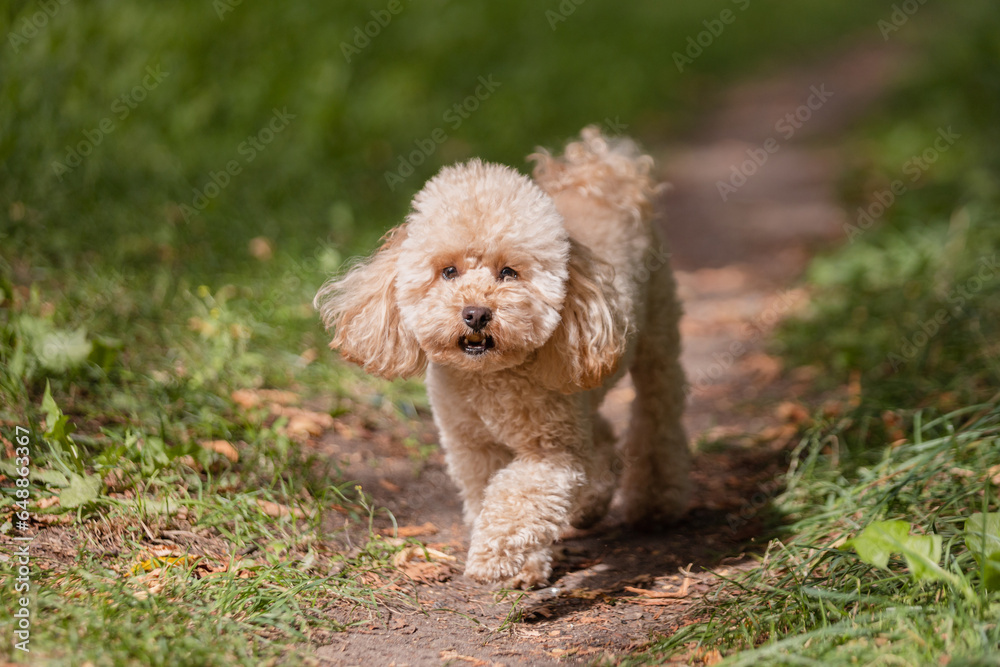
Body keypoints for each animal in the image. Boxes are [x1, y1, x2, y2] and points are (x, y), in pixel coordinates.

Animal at [316, 128, 692, 588]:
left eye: (508, 272)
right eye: (449, 271)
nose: (476, 314)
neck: (488, 380)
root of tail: (600, 175)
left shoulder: (552, 453)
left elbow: (518, 497)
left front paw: (494, 557)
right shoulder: (473, 448)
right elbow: (489, 495)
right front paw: (525, 565)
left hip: (657, 340)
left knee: (657, 418)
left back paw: (657, 503)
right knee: (601, 432)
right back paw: (591, 502)